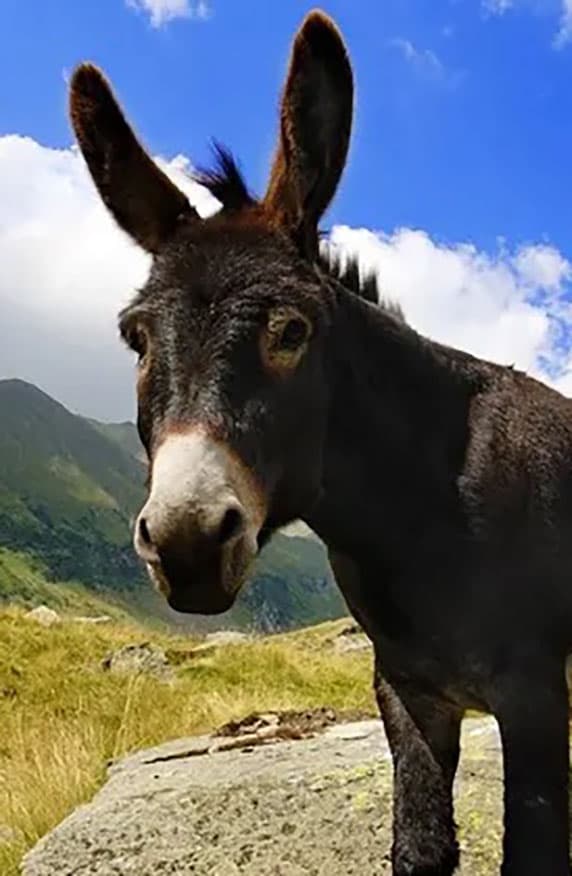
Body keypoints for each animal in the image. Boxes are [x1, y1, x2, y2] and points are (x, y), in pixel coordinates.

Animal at [69, 10, 572, 875]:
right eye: (135, 338)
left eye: (291, 332)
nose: (188, 542)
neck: (422, 509)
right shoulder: (408, 693)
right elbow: (418, 847)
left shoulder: (534, 694)